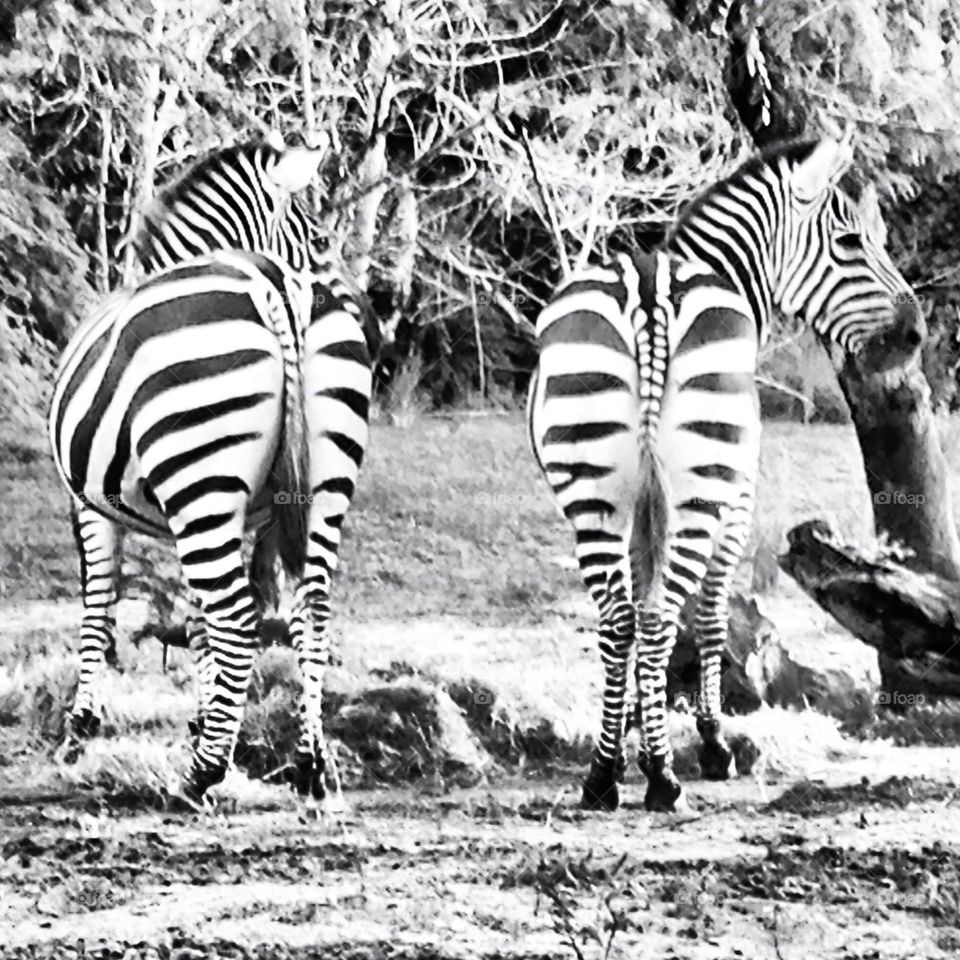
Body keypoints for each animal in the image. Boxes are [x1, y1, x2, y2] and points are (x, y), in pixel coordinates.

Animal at [51, 138, 372, 807]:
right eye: (317, 236)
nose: (375, 324)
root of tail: (275, 285)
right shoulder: (252, 514)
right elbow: (200, 623)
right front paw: (206, 720)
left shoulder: (90, 507)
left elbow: (98, 605)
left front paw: (81, 727)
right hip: (319, 483)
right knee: (310, 608)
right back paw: (310, 766)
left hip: (197, 476)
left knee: (236, 616)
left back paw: (201, 776)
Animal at [528, 137, 923, 813]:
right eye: (851, 241)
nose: (916, 334)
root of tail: (650, 286)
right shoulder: (737, 498)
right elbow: (711, 617)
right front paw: (708, 744)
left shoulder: (644, 504)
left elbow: (640, 599)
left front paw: (630, 732)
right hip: (706, 480)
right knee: (663, 615)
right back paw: (665, 779)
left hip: (592, 482)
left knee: (621, 617)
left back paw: (602, 777)